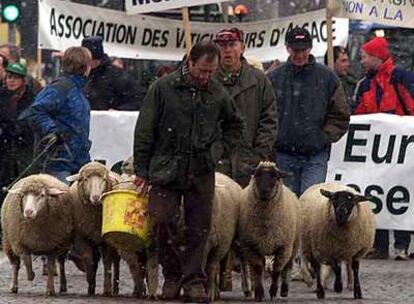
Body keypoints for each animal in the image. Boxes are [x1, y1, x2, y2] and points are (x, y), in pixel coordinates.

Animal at [236, 162, 300, 302]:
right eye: (257, 175)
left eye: (275, 177)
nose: (264, 191)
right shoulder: (251, 246)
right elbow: (258, 269)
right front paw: (259, 293)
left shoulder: (283, 247)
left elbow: (277, 270)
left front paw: (273, 292)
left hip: (293, 245)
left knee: (287, 267)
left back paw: (284, 290)